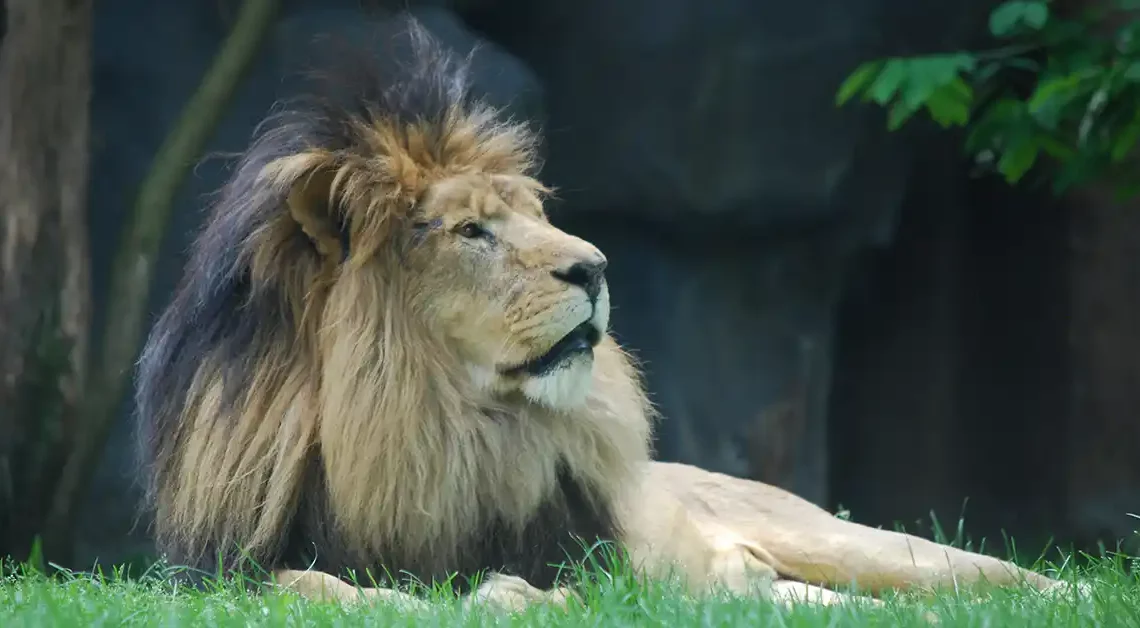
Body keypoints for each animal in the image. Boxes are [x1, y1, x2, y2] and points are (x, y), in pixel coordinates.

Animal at [135, 18, 1076, 615]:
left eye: (532, 215)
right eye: (472, 231)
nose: (594, 267)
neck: (433, 425)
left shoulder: (595, 559)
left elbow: (525, 586)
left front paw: (510, 600)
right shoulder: (221, 572)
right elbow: (310, 587)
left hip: (851, 544)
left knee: (979, 575)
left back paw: (1070, 594)